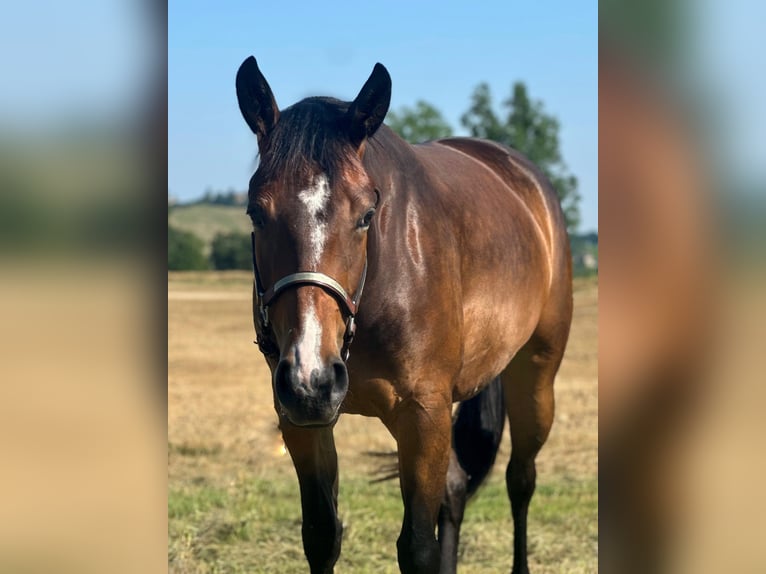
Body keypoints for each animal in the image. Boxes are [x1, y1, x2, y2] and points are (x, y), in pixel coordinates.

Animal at [235, 56, 573, 574]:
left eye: (366, 214)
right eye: (256, 212)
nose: (312, 377)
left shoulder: (422, 415)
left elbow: (417, 546)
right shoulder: (300, 419)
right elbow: (321, 535)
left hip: (535, 375)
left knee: (521, 479)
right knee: (457, 489)